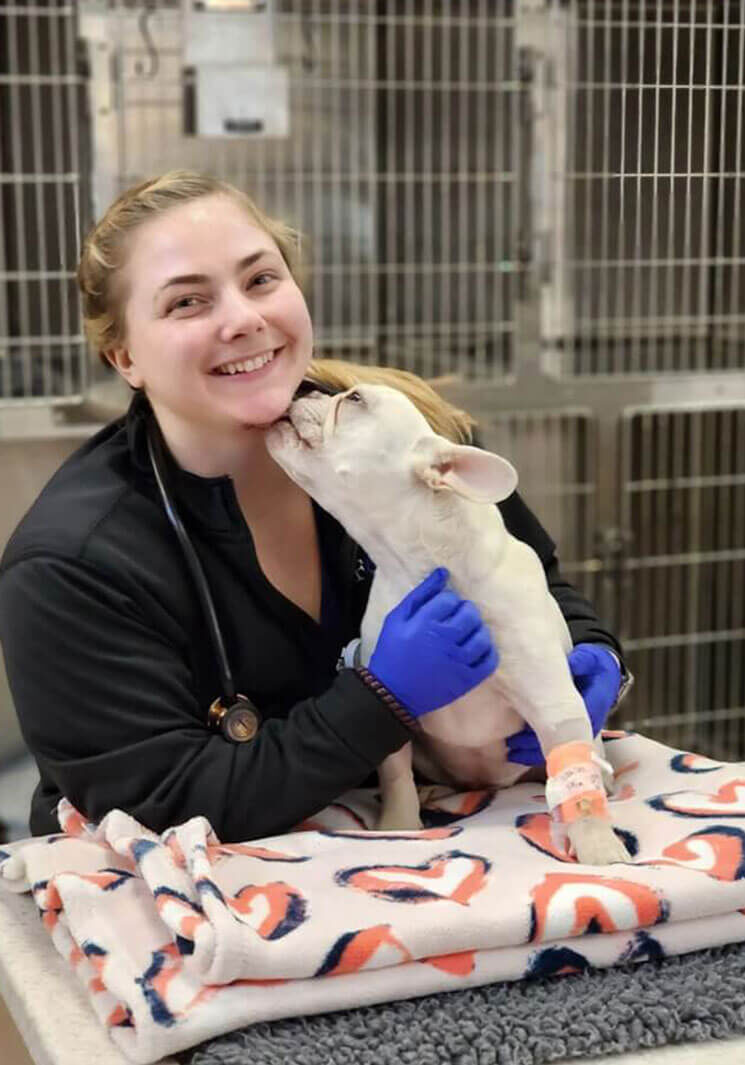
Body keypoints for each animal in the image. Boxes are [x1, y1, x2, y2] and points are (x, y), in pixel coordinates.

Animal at [268, 383, 630, 864]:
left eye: (354, 401)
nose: (304, 388)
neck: (418, 564)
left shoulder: (553, 704)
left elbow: (576, 778)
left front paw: (599, 848)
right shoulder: (396, 691)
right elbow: (394, 769)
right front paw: (398, 825)